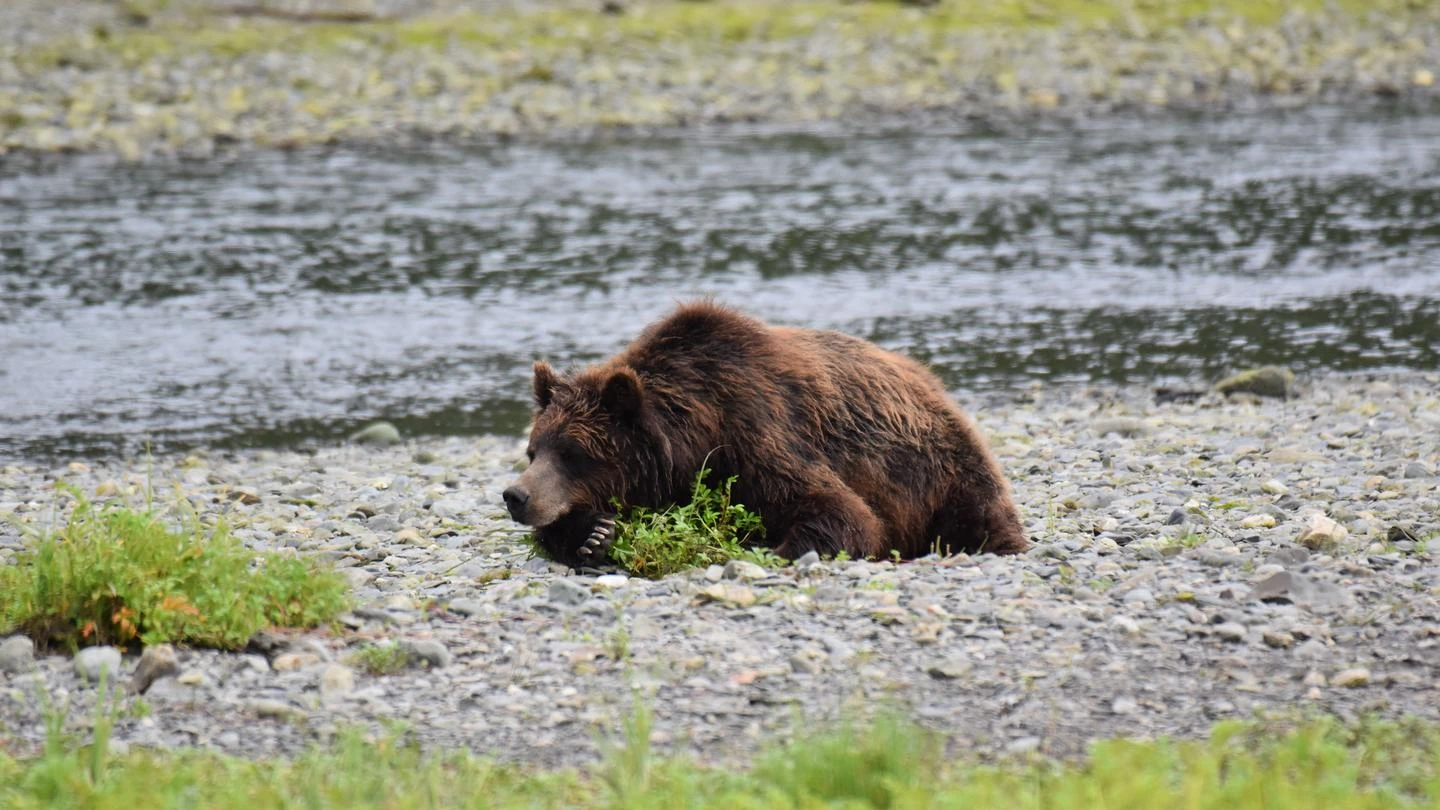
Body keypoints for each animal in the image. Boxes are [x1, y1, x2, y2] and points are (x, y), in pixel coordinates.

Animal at [502, 301, 1028, 568]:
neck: (694, 435)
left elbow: (840, 512)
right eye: (533, 451)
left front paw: (769, 546)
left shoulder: (756, 434)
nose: (516, 496)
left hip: (940, 470)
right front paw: (594, 534)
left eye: (574, 452)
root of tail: (931, 381)